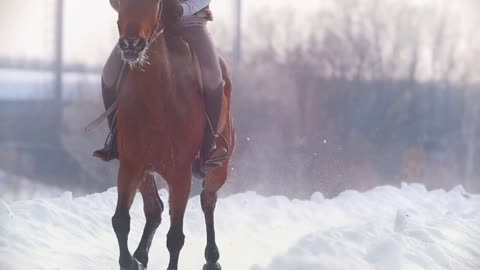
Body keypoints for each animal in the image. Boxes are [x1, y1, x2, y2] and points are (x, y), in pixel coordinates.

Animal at [106, 1, 236, 268]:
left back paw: (212, 259)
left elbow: (175, 237)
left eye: (154, 4)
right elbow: (121, 220)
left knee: (208, 200)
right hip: (146, 171)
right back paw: (140, 255)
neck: (157, 97)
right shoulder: (131, 164)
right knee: (154, 209)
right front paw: (130, 261)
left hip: (219, 167)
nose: (131, 45)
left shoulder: (180, 173)